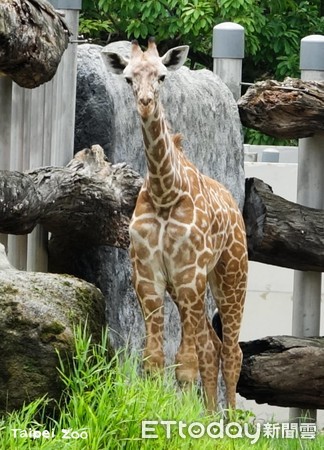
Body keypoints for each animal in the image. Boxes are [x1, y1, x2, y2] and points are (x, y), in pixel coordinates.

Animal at [102, 38, 247, 412]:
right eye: (128, 78)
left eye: (162, 76)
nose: (145, 102)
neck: (166, 193)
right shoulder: (148, 277)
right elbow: (154, 359)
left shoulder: (189, 275)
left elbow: (185, 365)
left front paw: (181, 416)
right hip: (192, 290)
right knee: (211, 346)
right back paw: (211, 415)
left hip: (230, 275)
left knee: (231, 350)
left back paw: (229, 420)